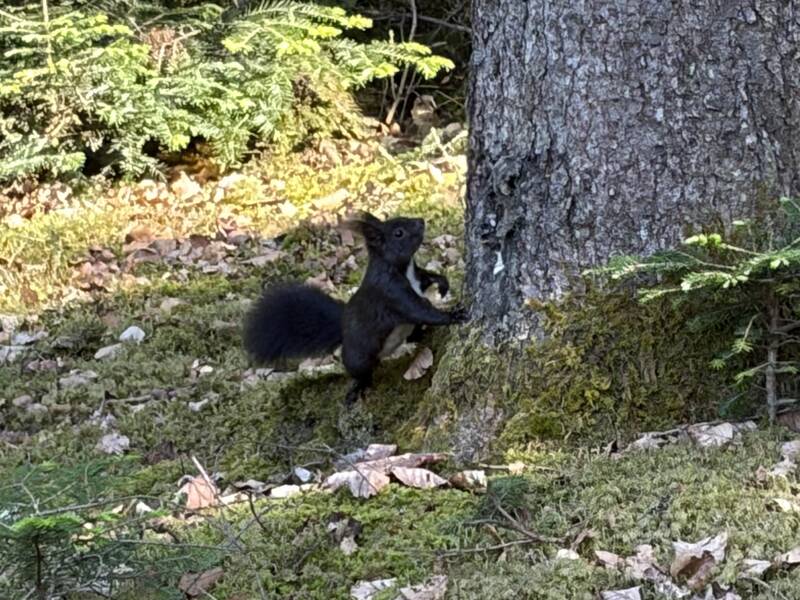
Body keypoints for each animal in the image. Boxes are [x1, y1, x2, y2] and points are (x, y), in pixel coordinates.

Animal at [243, 212, 468, 404]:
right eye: (398, 233)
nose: (421, 221)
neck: (404, 269)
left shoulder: (417, 278)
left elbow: (427, 277)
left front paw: (443, 284)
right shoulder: (390, 293)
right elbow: (420, 310)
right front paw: (453, 315)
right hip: (358, 357)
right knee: (361, 372)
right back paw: (358, 388)